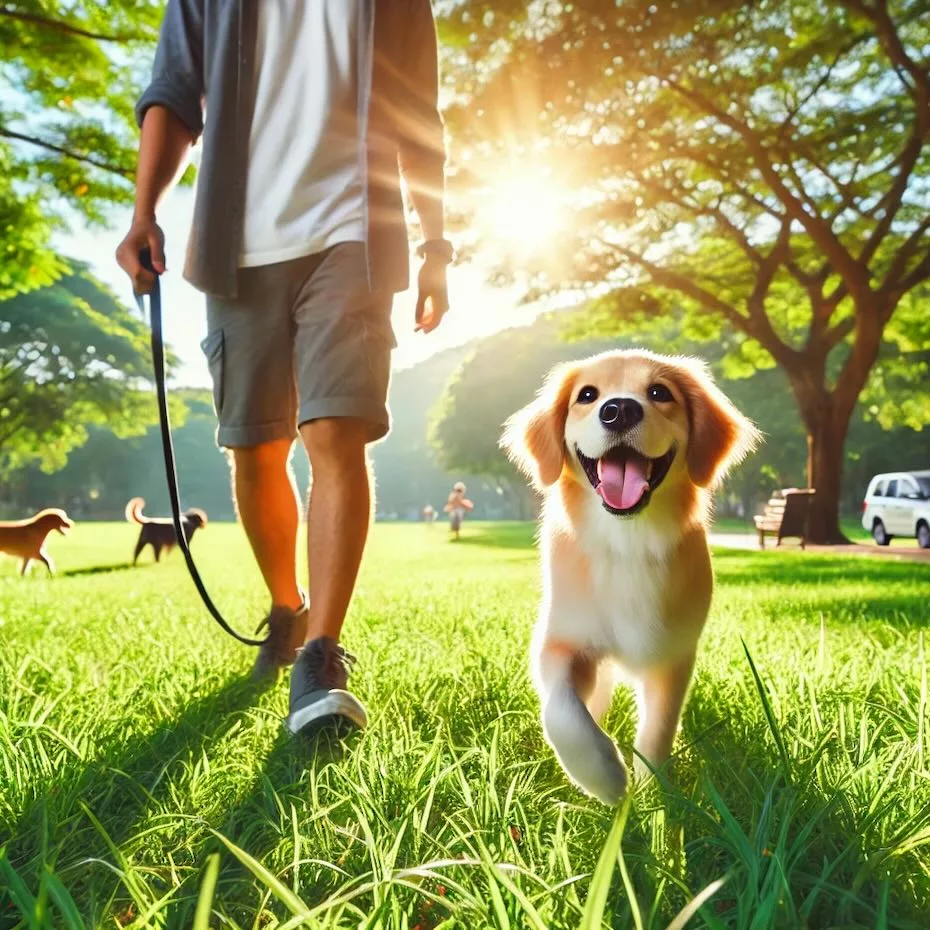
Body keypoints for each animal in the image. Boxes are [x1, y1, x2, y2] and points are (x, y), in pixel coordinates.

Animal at [500, 352, 752, 800]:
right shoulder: (562, 640)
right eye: (587, 395)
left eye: (659, 392)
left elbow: (657, 731)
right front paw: (605, 778)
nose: (618, 410)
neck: (627, 539)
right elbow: (563, 712)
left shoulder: (671, 655)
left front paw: (654, 796)